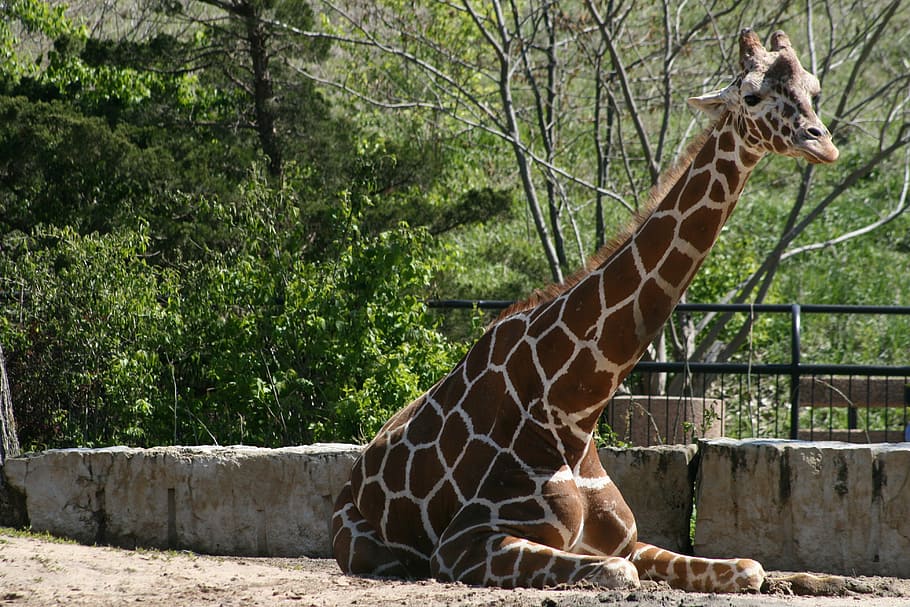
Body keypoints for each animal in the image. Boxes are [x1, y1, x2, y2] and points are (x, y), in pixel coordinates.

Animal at [334, 28, 840, 592]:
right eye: (751, 96)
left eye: (813, 90)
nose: (822, 142)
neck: (574, 411)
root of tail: (353, 475)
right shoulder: (463, 545)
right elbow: (621, 574)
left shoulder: (624, 540)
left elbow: (749, 567)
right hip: (370, 551)